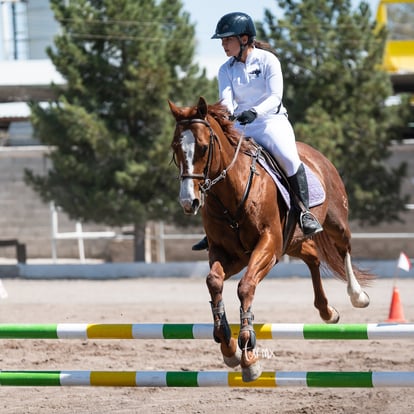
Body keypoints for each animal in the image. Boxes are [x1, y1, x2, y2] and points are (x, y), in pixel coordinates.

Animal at [167, 96, 374, 382]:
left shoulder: (267, 246)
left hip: (334, 223)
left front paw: (248, 353)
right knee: (312, 257)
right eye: (175, 148)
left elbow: (245, 287)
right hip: (292, 243)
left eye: (203, 147)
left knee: (344, 248)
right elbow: (214, 282)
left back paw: (357, 296)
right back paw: (327, 311)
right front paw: (229, 347)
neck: (232, 192)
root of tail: (314, 154)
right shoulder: (228, 254)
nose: (189, 202)